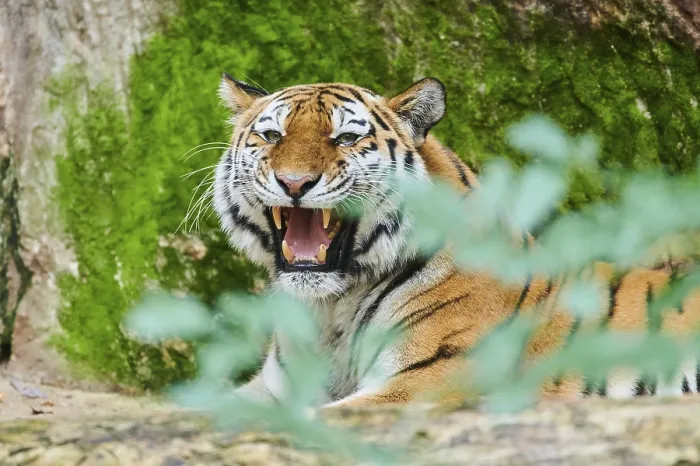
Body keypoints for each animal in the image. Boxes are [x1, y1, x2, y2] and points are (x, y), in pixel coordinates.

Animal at [212, 73, 700, 408]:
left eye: (347, 137)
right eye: (272, 135)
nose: (294, 183)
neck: (331, 309)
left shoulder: (429, 380)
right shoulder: (273, 388)